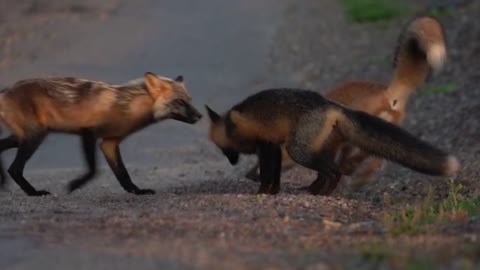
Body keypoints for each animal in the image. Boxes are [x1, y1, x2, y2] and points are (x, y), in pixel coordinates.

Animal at [0, 71, 202, 196]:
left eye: (190, 100)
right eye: (180, 102)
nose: (200, 116)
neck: (127, 107)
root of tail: (7, 90)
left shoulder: (109, 143)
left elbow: (122, 173)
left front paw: (137, 192)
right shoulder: (88, 132)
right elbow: (93, 169)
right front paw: (74, 185)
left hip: (23, 137)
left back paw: (4, 182)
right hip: (34, 136)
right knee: (15, 169)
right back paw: (33, 193)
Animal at [204, 89, 460, 195]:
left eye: (223, 149)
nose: (232, 162)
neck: (232, 123)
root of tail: (334, 105)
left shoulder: (266, 145)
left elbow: (267, 174)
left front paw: (263, 192)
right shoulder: (272, 147)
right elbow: (274, 176)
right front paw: (272, 192)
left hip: (298, 149)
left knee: (334, 172)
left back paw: (322, 194)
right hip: (316, 148)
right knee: (326, 172)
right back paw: (313, 190)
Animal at [246, 16, 448, 192]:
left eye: (265, 160)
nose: (249, 175)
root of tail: (388, 93)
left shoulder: (332, 142)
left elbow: (326, 170)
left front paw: (318, 188)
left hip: (357, 134)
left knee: (365, 158)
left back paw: (351, 174)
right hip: (376, 133)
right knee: (378, 157)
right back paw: (359, 177)